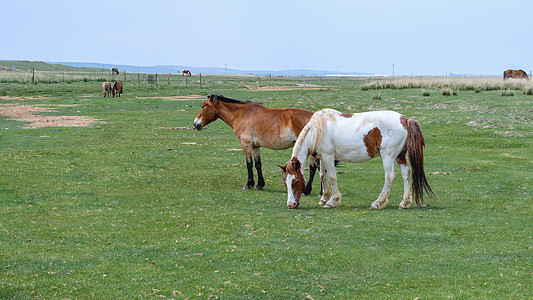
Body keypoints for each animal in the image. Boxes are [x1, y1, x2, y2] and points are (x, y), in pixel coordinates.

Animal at [280, 109, 434, 210]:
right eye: (285, 181)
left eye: (296, 181)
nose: (291, 205)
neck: (319, 129)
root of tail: (405, 119)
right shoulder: (322, 157)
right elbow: (323, 176)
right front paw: (324, 198)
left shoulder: (329, 157)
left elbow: (332, 177)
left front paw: (332, 201)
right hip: (400, 156)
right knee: (406, 174)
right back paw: (404, 203)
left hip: (388, 156)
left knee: (390, 177)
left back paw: (377, 203)